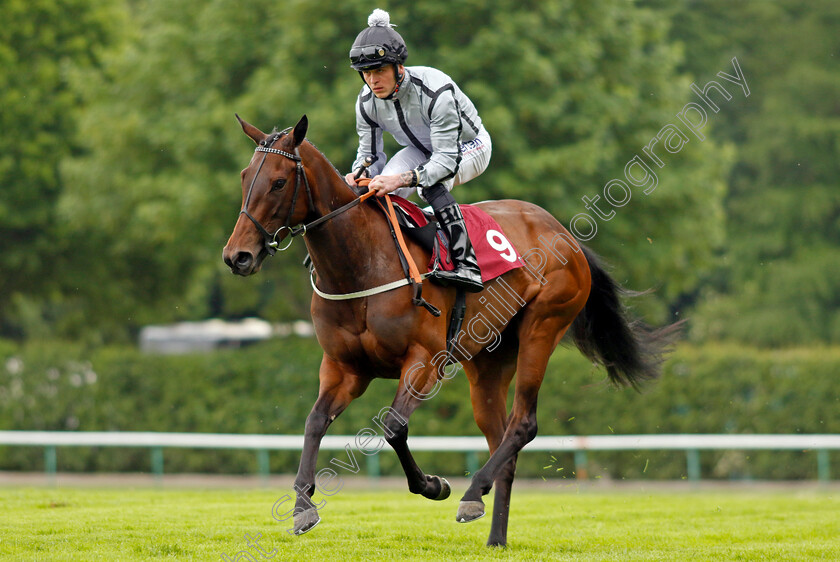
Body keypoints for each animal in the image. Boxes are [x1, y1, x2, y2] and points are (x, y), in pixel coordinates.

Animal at [220, 115, 680, 548]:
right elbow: (314, 422)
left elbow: (393, 426)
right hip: (489, 360)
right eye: (244, 176)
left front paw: (433, 485)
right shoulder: (344, 367)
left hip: (543, 327)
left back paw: (472, 491)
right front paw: (302, 506)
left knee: (523, 424)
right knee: (502, 440)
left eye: (279, 182)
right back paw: (494, 535)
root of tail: (564, 233)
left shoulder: (423, 360)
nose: (237, 256)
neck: (362, 263)